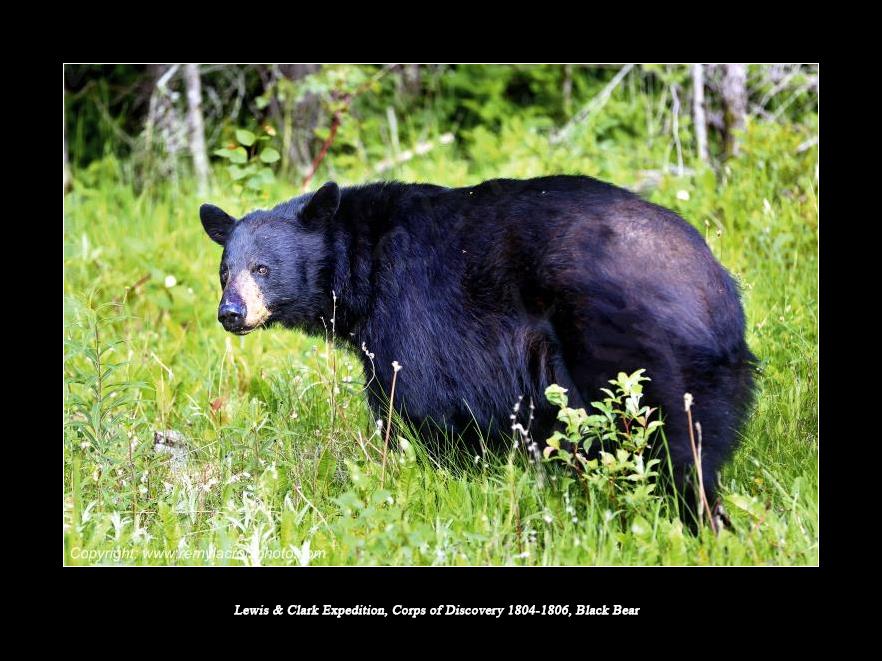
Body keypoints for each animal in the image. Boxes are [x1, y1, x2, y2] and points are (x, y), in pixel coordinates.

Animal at [199, 175, 756, 521]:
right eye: (225, 270)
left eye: (263, 269)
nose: (231, 313)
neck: (361, 266)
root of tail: (710, 284)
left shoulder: (412, 308)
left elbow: (415, 398)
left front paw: (431, 471)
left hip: (628, 348)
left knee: (671, 439)